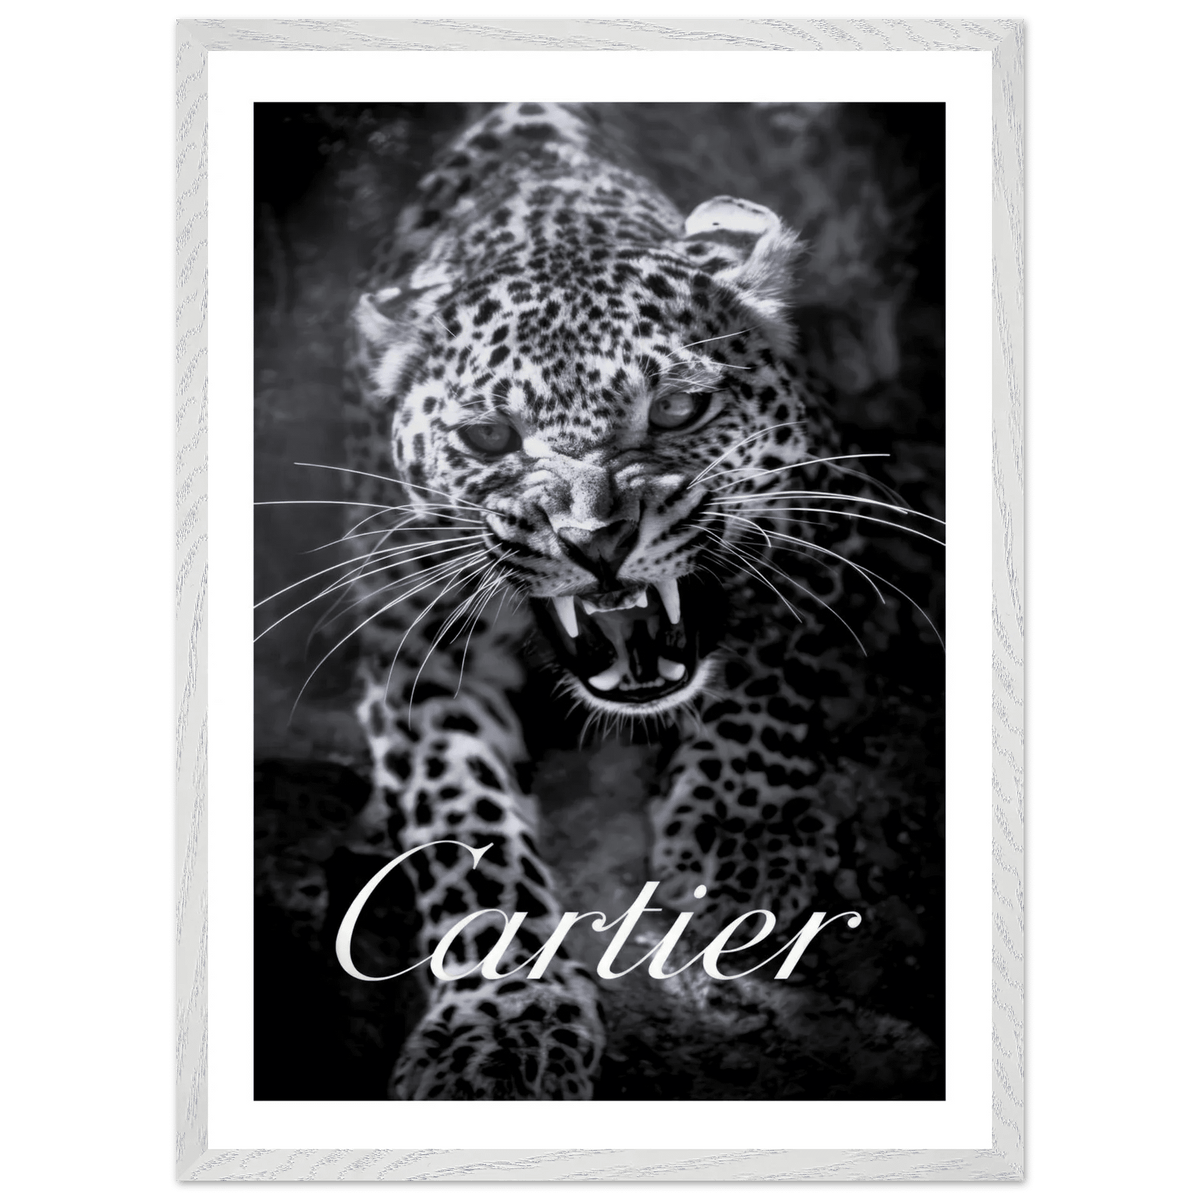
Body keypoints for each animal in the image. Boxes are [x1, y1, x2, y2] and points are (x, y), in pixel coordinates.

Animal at [264, 102, 944, 1101]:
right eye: (487, 436)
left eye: (679, 410)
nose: (596, 541)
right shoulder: (411, 640)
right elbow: (461, 826)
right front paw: (500, 1023)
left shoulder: (824, 508)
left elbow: (769, 679)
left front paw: (735, 853)